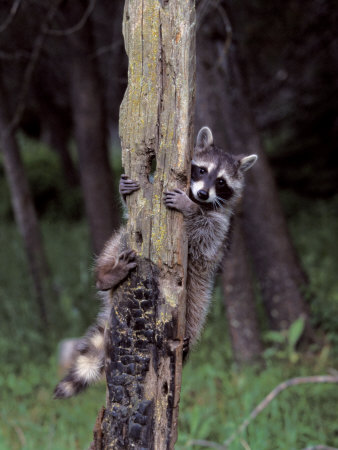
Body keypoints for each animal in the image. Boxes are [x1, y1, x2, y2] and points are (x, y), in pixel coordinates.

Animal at [54, 125, 258, 398]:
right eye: (202, 170)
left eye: (221, 181)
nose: (203, 193)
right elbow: (130, 211)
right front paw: (124, 191)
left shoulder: (221, 227)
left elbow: (205, 235)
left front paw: (190, 209)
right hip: (123, 246)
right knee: (117, 242)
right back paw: (106, 274)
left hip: (199, 287)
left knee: (196, 312)